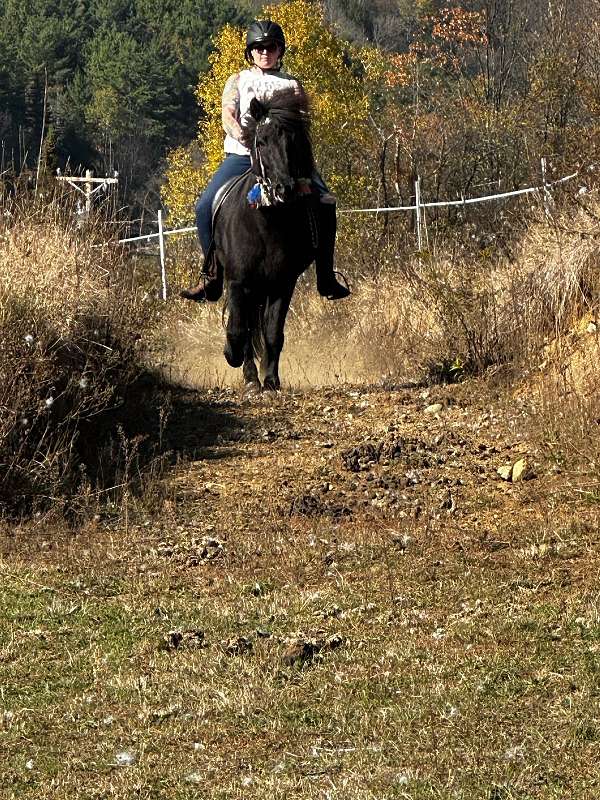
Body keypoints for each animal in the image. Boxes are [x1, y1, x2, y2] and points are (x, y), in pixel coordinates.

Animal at [212, 88, 320, 392]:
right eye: (261, 141)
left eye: (293, 142)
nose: (284, 189)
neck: (266, 223)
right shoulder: (239, 281)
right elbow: (239, 328)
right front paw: (235, 359)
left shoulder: (283, 283)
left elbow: (272, 333)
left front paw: (270, 379)